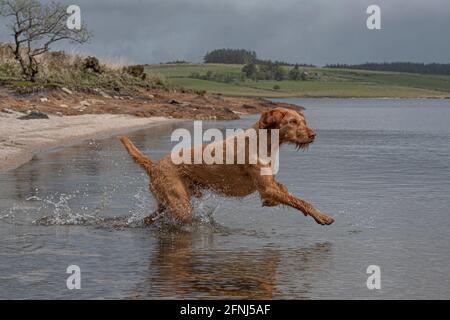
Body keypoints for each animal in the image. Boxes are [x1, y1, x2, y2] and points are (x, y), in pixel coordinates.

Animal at [119, 107, 334, 225]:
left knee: (151, 216)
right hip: (180, 204)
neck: (265, 141)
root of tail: (154, 165)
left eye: (303, 121)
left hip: (168, 201)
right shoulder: (267, 187)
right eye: (293, 121)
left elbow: (286, 191)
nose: (313, 134)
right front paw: (321, 216)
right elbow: (300, 201)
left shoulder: (270, 184)